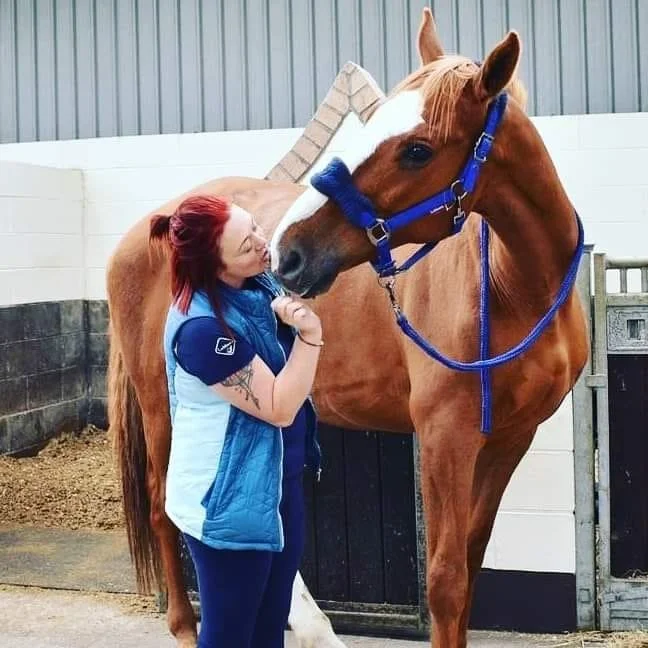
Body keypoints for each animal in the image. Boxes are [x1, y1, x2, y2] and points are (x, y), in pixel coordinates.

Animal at [106, 9, 588, 648]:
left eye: (417, 150)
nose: (287, 253)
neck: (511, 289)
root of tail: (152, 224)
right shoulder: (444, 437)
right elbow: (445, 581)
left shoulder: (511, 438)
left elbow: (470, 566)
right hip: (163, 404)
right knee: (165, 504)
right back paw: (190, 626)